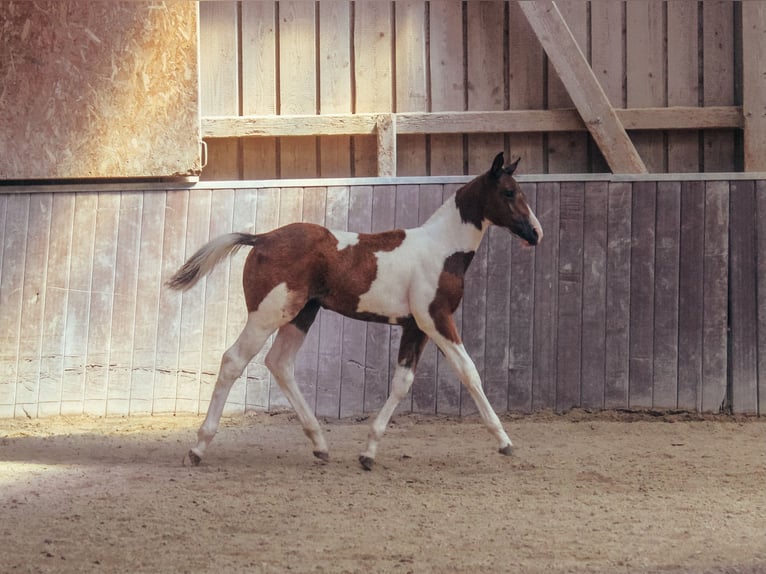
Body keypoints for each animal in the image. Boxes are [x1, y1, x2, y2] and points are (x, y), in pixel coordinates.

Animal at [167, 152, 542, 470]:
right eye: (509, 192)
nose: (536, 234)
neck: (442, 249)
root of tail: (262, 238)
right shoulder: (435, 318)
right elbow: (469, 371)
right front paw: (505, 442)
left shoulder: (414, 327)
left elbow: (402, 383)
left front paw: (368, 453)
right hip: (267, 315)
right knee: (234, 361)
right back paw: (197, 449)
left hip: (302, 315)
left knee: (280, 363)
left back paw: (320, 445)